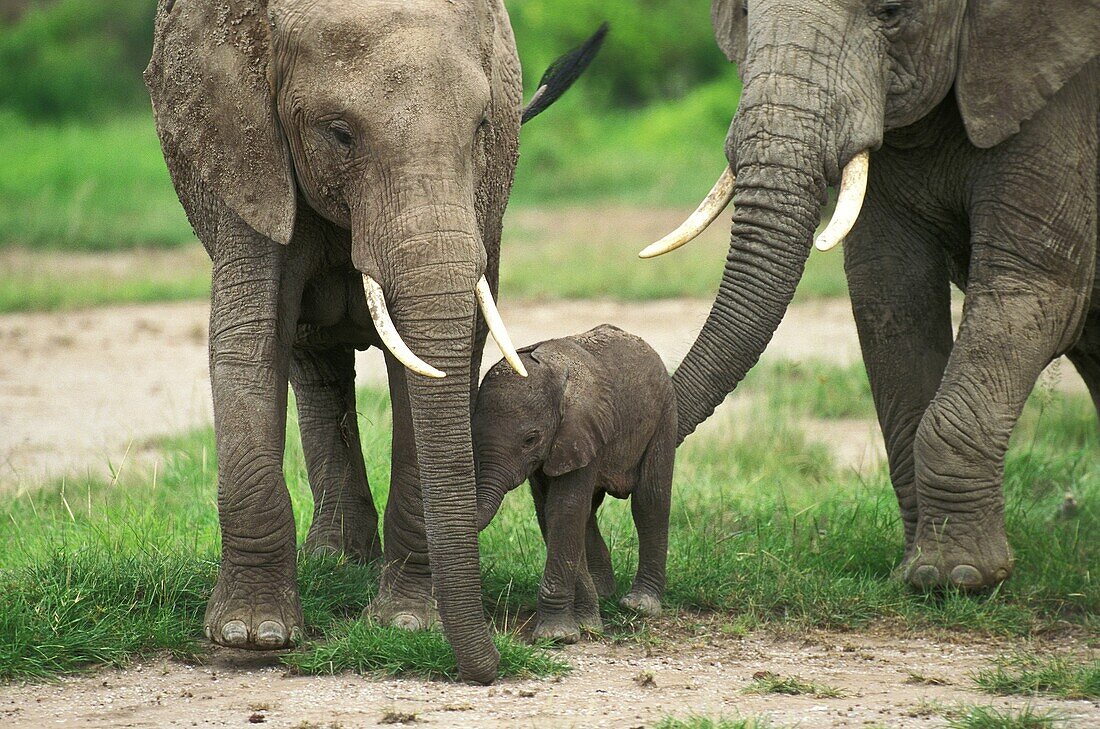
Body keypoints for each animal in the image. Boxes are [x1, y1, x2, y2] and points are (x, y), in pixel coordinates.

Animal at [144, 0, 602, 686]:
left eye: (482, 128)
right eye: (339, 133)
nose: (496, 666)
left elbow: (437, 359)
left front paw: (407, 624)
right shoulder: (248, 160)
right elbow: (248, 341)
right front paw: (253, 636)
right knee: (311, 357)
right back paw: (337, 562)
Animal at [470, 327, 673, 642]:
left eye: (531, 439)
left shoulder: (580, 429)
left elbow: (565, 509)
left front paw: (558, 636)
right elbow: (551, 513)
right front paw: (587, 622)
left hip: (663, 412)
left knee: (650, 501)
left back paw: (640, 605)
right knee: (589, 512)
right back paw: (603, 594)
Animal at [642, 0, 1100, 593]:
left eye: (890, 12)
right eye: (743, 13)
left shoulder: (1066, 108)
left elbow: (1031, 290)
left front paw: (960, 578)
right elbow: (891, 295)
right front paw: (918, 573)